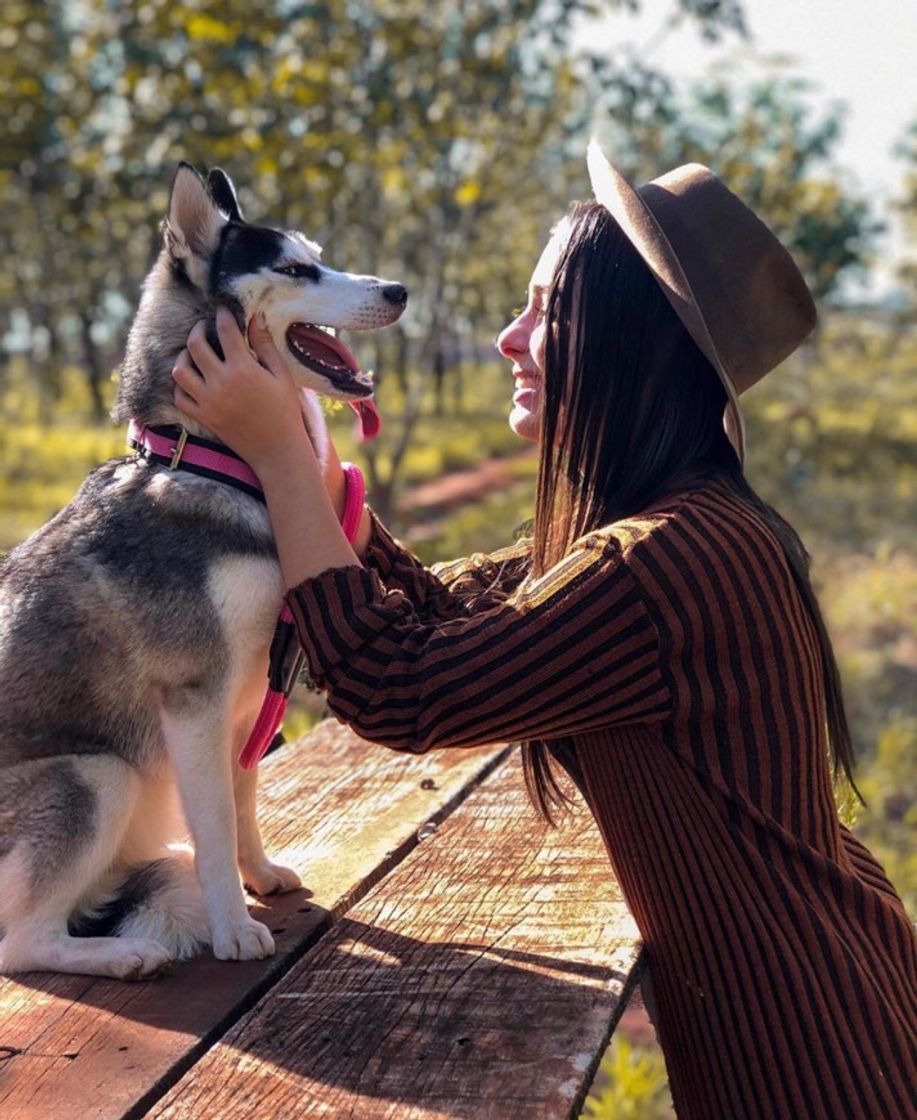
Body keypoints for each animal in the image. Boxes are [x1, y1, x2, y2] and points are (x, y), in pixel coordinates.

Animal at [0, 162, 409, 976]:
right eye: (294, 270)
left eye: (319, 255)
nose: (398, 290)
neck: (216, 465)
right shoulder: (195, 696)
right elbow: (215, 822)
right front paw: (232, 925)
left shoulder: (253, 688)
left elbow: (244, 798)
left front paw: (260, 876)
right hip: (96, 774)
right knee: (16, 944)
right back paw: (121, 955)